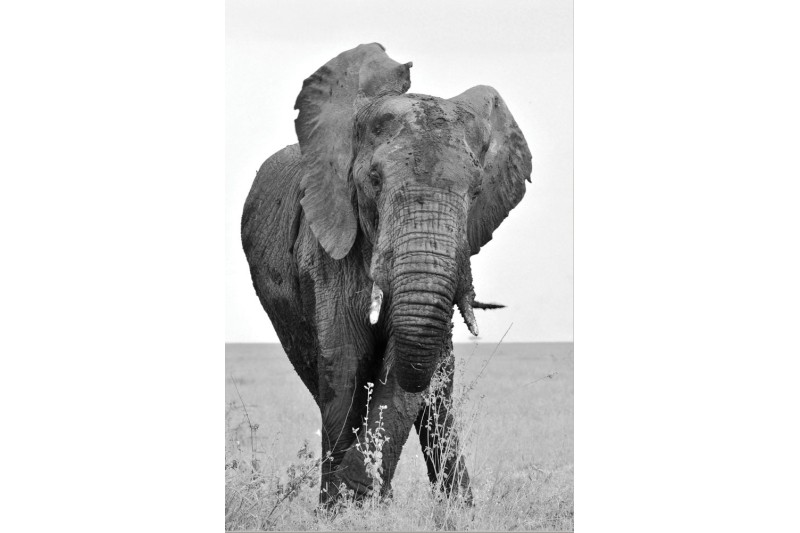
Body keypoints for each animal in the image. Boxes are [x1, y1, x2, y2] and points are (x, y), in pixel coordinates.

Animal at [241, 43, 531, 505]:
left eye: (476, 192)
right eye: (374, 181)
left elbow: (404, 364)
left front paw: (355, 498)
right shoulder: (327, 247)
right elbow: (343, 361)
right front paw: (343, 506)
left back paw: (456, 508)